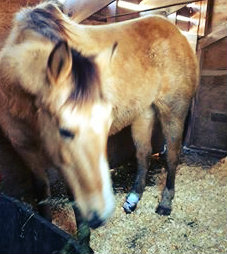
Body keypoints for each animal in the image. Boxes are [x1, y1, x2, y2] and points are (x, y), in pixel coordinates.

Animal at [0, 0, 199, 237]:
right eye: (64, 130)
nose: (101, 215)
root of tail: (177, 32)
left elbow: (76, 203)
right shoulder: (27, 150)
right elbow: (42, 193)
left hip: (173, 112)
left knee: (172, 156)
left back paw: (165, 203)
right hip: (144, 113)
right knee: (144, 154)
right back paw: (133, 199)